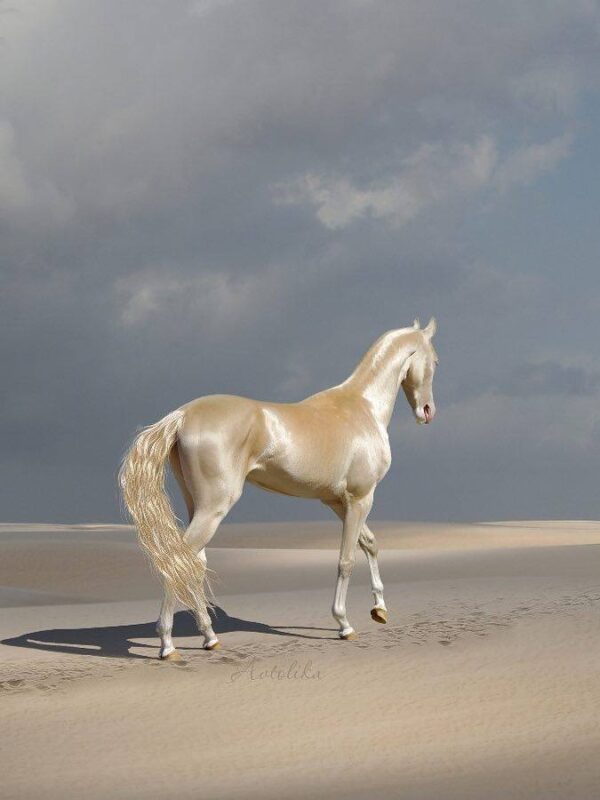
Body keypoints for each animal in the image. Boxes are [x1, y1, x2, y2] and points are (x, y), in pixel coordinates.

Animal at [119, 317, 438, 659]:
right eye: (434, 361)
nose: (427, 412)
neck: (361, 408)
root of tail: (182, 415)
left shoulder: (338, 502)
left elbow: (370, 544)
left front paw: (379, 609)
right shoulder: (360, 498)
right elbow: (346, 559)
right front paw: (344, 624)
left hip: (197, 506)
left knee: (194, 564)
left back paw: (209, 637)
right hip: (214, 508)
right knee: (179, 561)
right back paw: (167, 645)